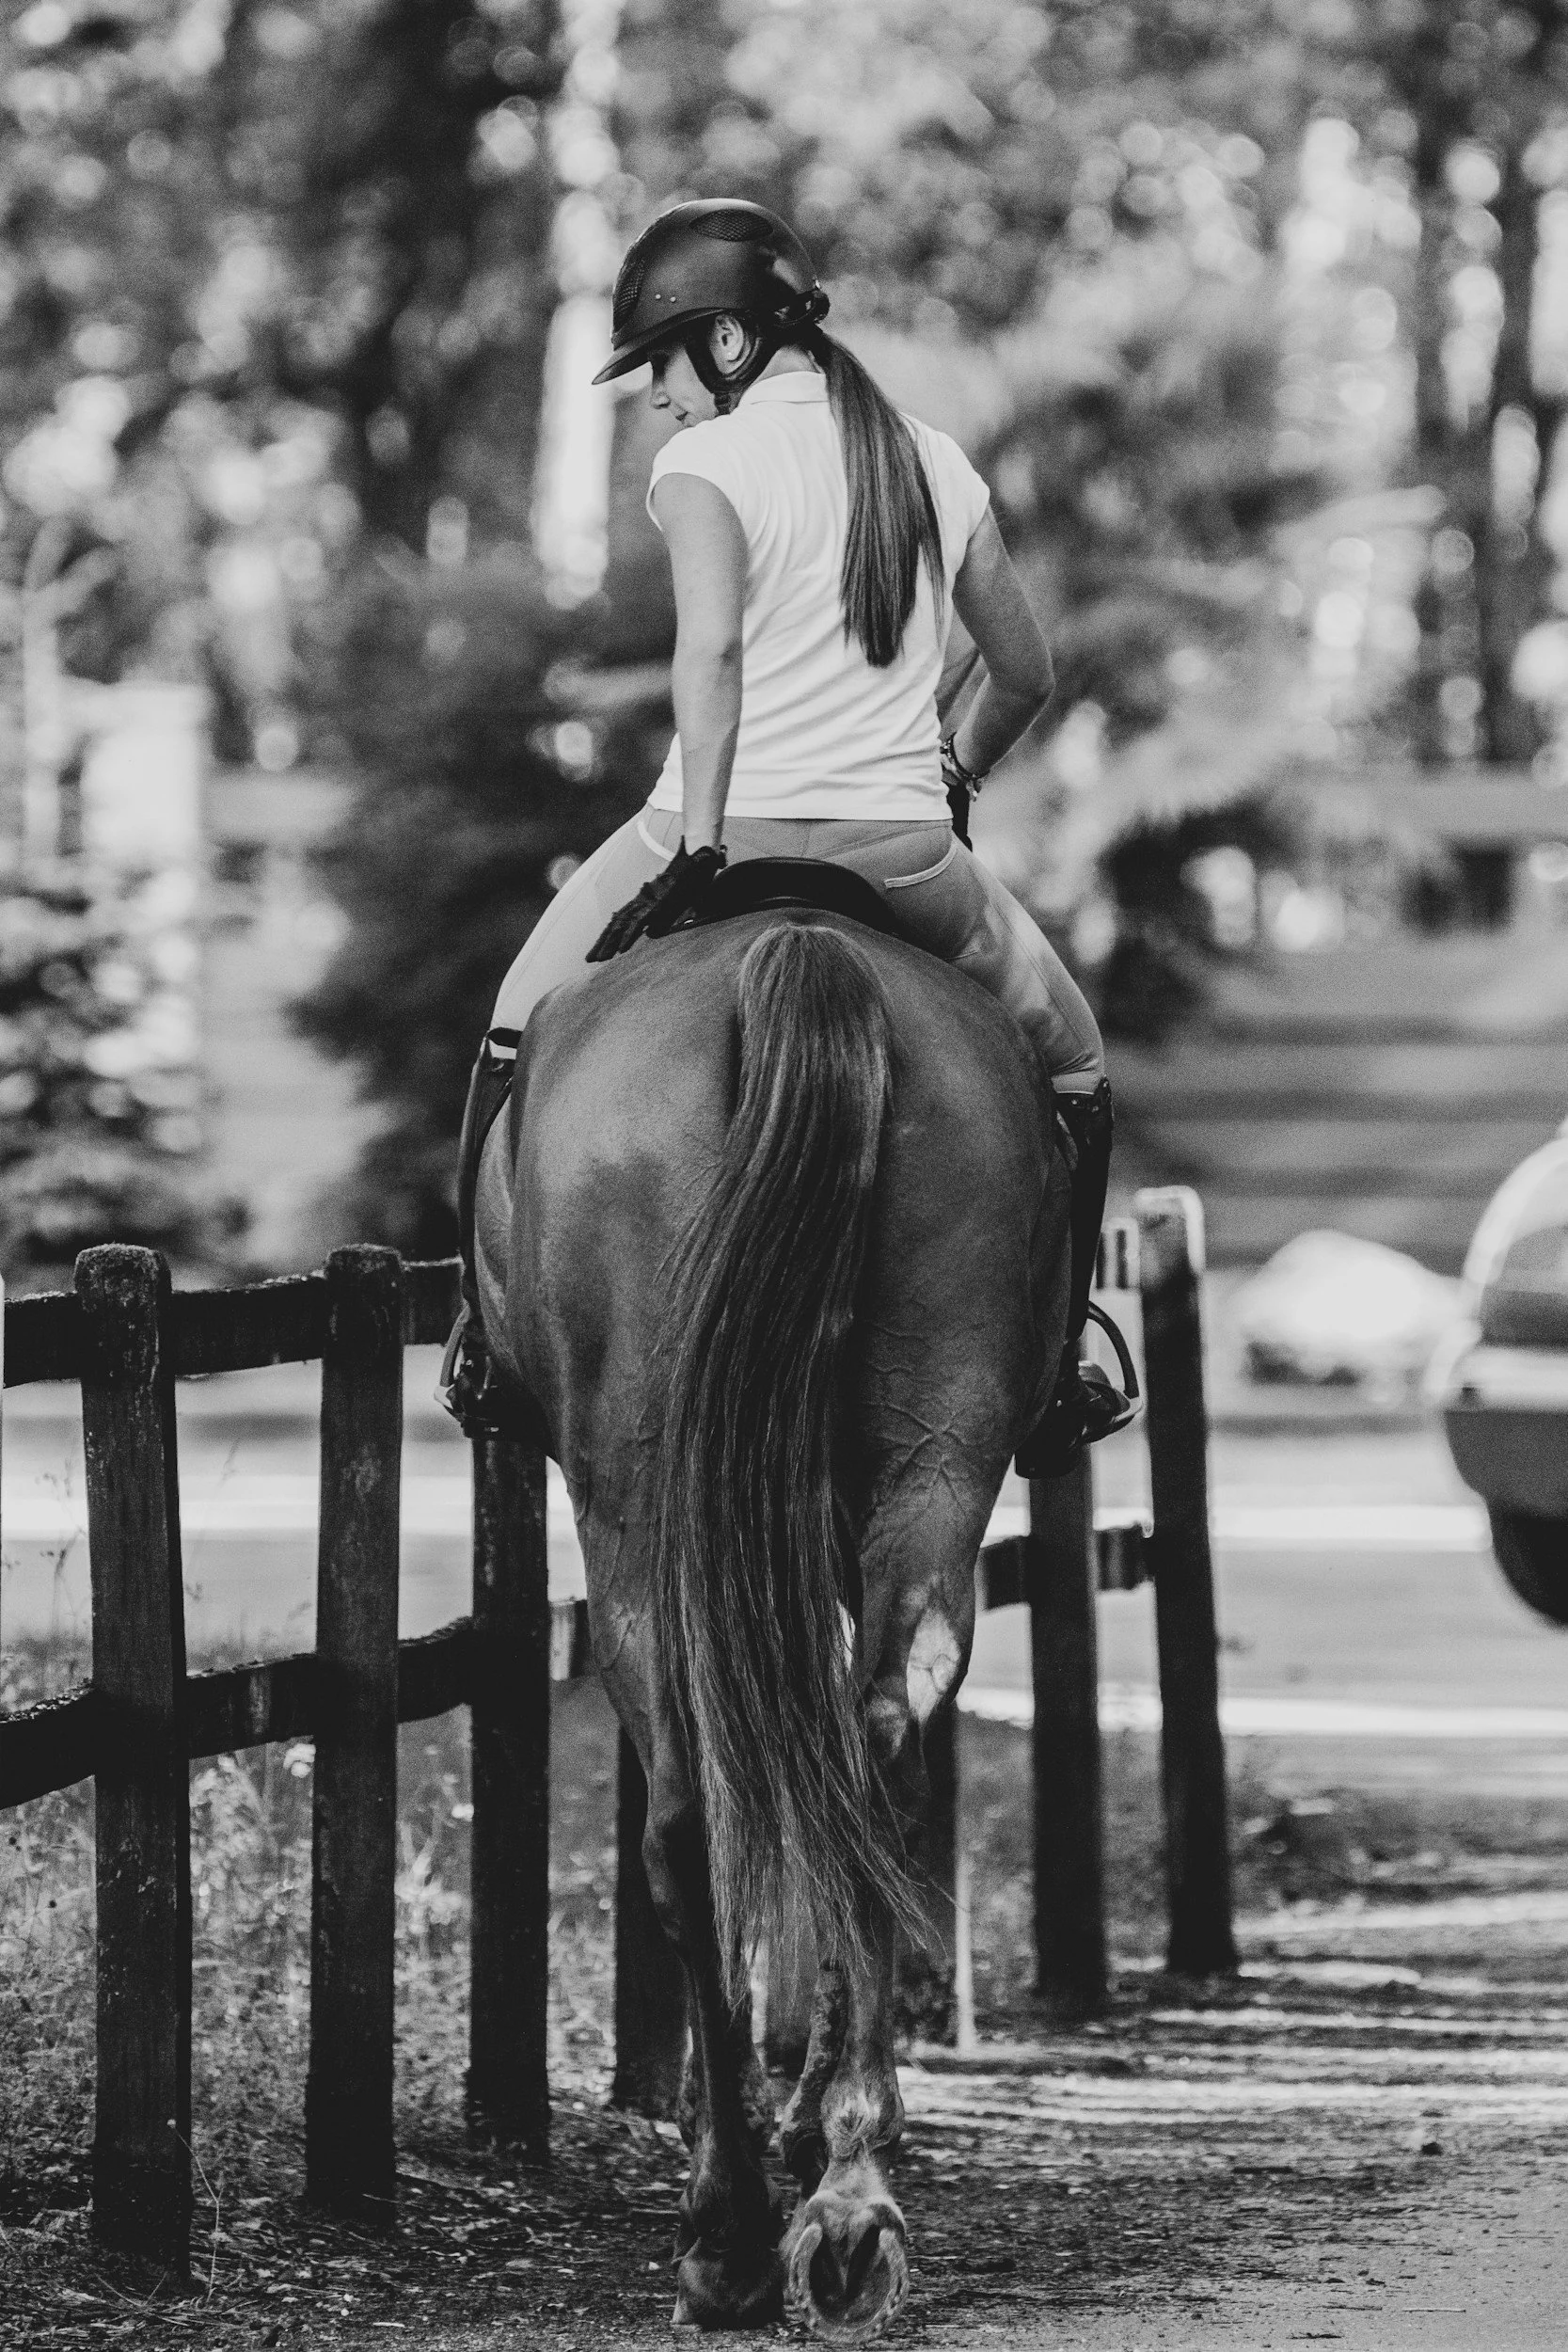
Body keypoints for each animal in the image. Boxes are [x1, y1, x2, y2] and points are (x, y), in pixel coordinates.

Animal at [474, 900, 1069, 2335]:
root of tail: (802, 946)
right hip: (928, 1461)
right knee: (860, 1753)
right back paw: (839, 2199)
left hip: (639, 1499)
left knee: (699, 1816)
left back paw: (738, 2224)